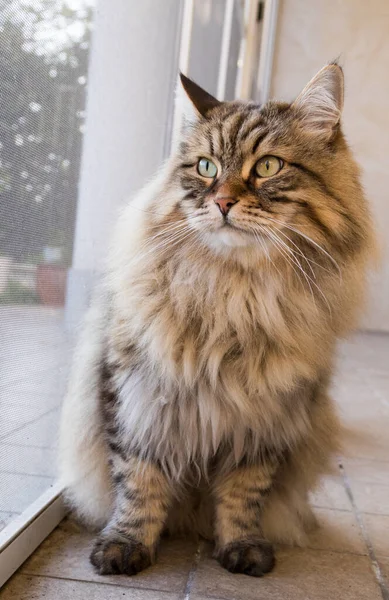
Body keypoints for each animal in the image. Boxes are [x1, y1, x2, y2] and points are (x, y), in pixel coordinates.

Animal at [59, 64, 372, 576]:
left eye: (268, 167)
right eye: (205, 167)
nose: (222, 202)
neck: (233, 294)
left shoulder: (269, 418)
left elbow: (244, 494)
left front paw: (242, 548)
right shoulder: (135, 395)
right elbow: (138, 484)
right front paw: (125, 546)